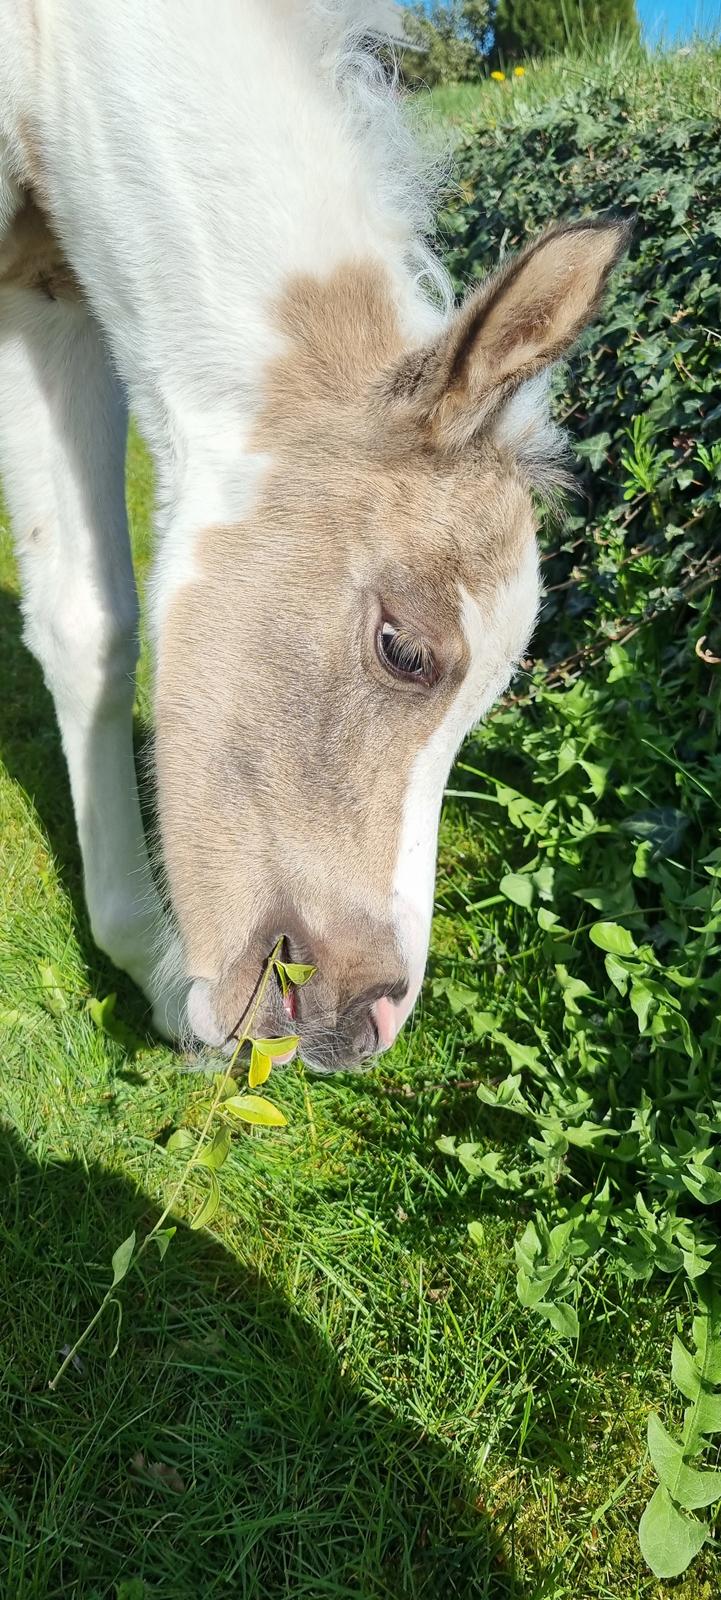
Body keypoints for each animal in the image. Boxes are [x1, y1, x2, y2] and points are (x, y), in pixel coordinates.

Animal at [0, 3, 629, 1075]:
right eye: (404, 650)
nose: (367, 1018)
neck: (54, 55)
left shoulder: (49, 276)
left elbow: (86, 620)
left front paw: (156, 973)